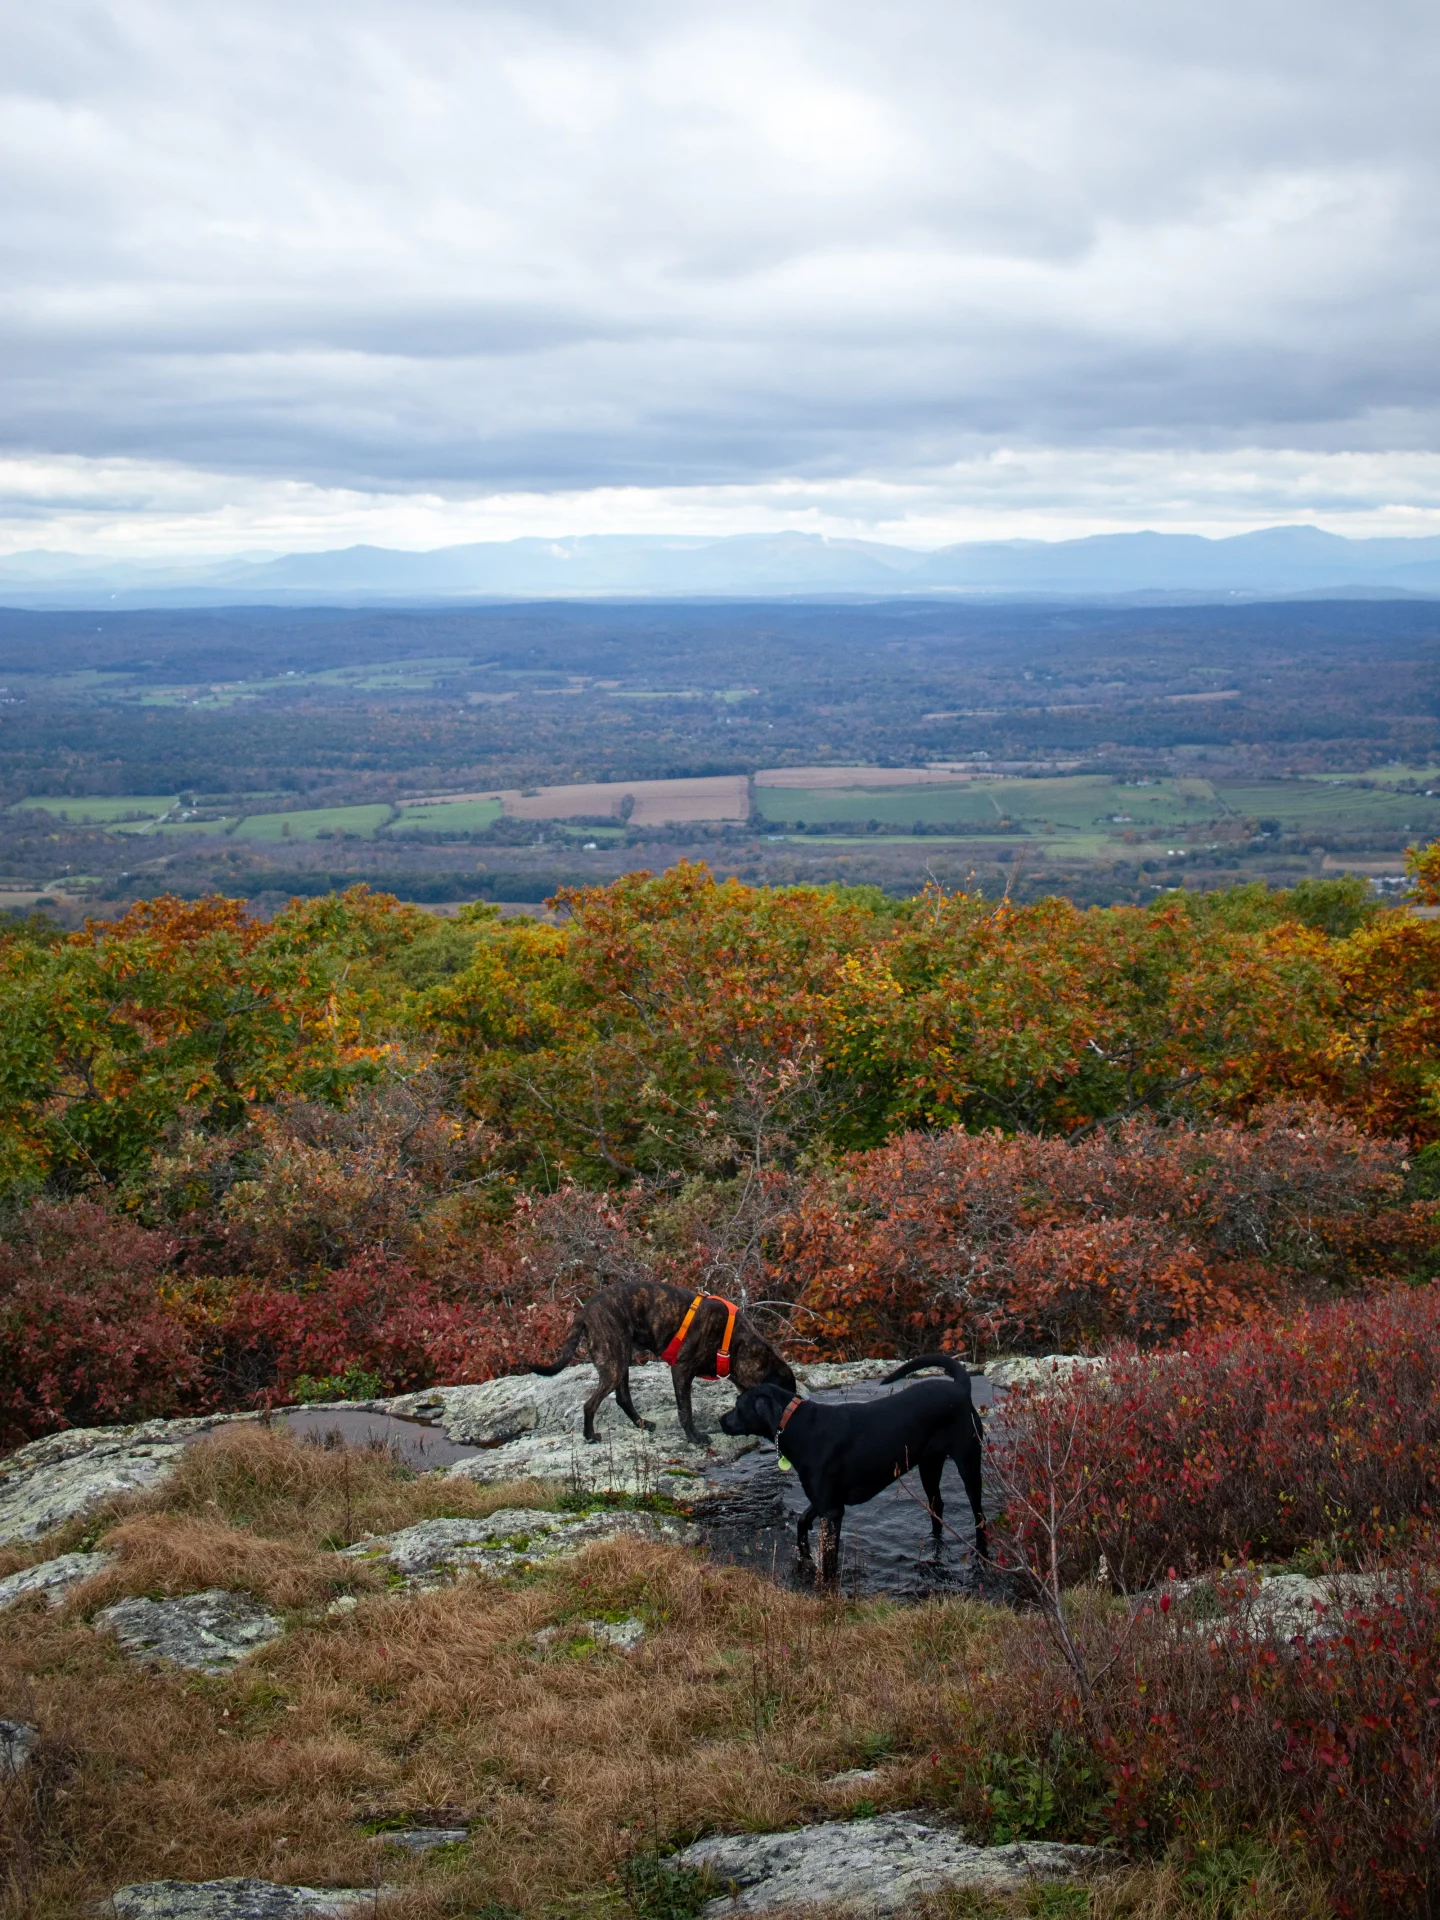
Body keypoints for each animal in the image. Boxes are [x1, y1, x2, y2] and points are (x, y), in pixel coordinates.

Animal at [533, 1282, 802, 1443]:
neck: (735, 1344)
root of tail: (584, 1311)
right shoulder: (681, 1370)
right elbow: (686, 1410)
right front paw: (694, 1437)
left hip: (621, 1359)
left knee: (623, 1398)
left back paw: (641, 1423)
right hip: (614, 1363)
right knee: (590, 1404)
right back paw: (590, 1435)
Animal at [718, 1344, 990, 1582]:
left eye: (738, 1406)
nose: (720, 1420)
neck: (799, 1426)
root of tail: (961, 1388)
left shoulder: (832, 1509)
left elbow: (830, 1559)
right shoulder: (825, 1500)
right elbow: (802, 1521)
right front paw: (805, 1555)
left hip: (968, 1462)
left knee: (979, 1514)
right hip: (929, 1465)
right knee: (937, 1506)